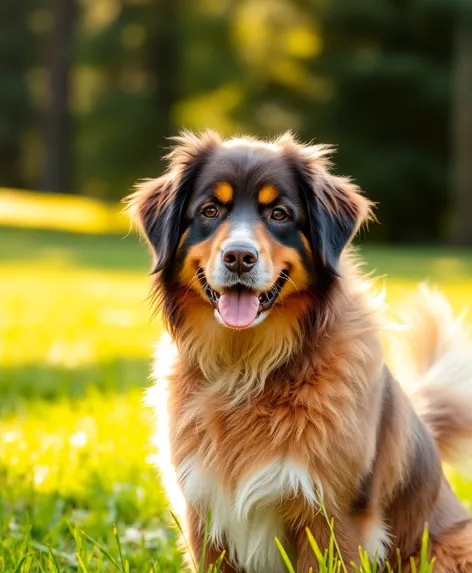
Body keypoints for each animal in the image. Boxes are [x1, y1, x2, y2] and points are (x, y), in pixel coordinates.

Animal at [127, 132, 472, 568]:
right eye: (209, 210)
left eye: (279, 214)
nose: (239, 257)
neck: (245, 367)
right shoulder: (202, 513)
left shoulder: (334, 517)